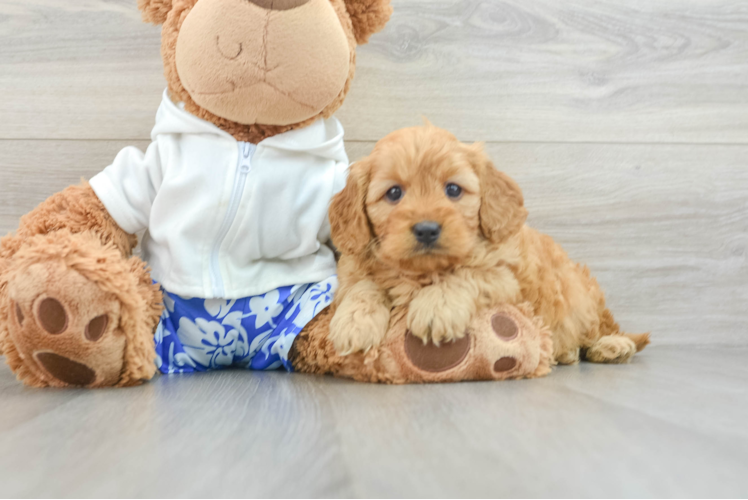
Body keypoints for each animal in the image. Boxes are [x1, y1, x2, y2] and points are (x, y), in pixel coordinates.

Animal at [328, 125, 648, 366]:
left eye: (453, 189)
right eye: (394, 193)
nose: (427, 229)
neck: (423, 271)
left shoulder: (507, 279)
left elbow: (466, 274)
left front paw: (436, 307)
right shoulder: (352, 271)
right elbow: (363, 286)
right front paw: (354, 322)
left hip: (582, 295)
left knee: (600, 328)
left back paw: (611, 346)